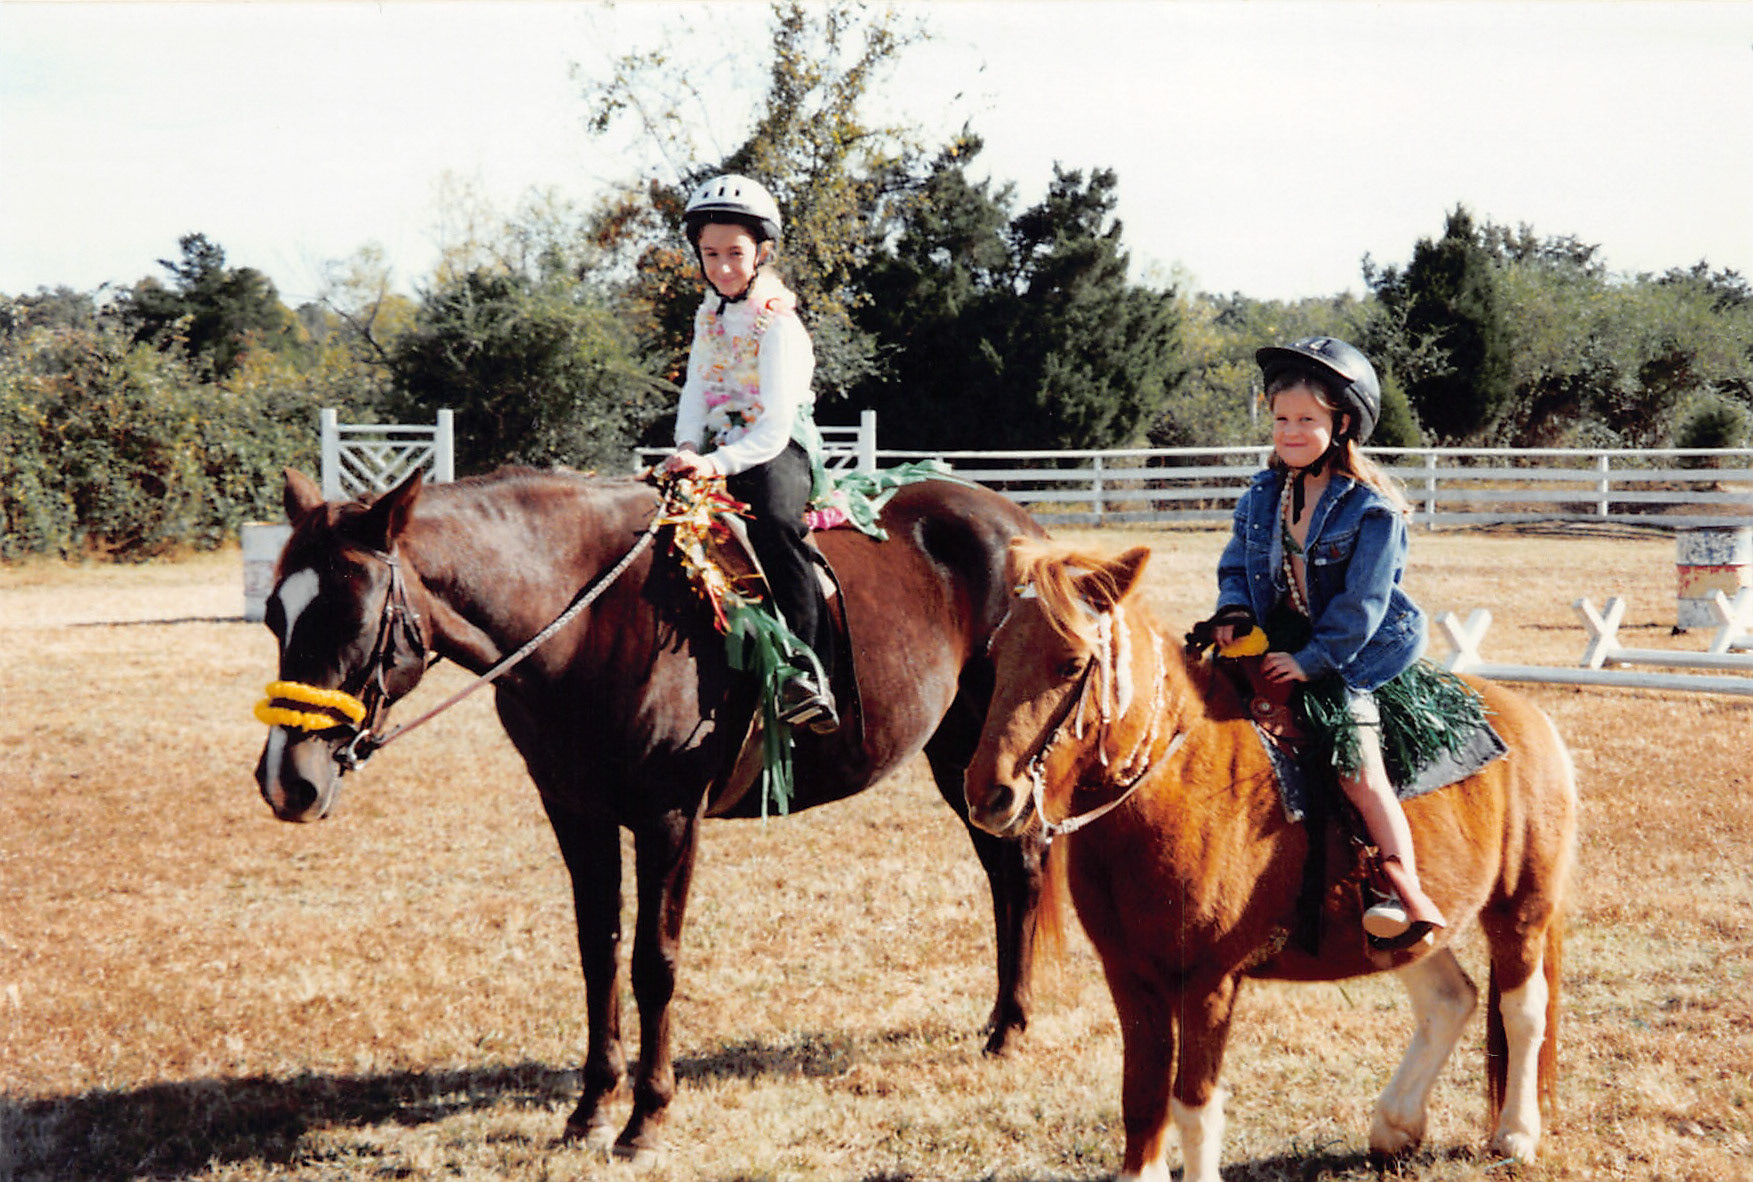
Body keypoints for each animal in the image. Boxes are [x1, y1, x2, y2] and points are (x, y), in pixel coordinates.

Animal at [252, 465, 1050, 1164]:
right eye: (273, 614)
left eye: (351, 615)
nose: (287, 781)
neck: (586, 625)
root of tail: (1019, 525)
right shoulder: (575, 812)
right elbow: (597, 953)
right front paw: (590, 1109)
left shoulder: (669, 818)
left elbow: (652, 962)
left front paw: (646, 1118)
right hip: (959, 756)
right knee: (1003, 875)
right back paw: (1000, 1020)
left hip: (991, 746)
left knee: (1024, 869)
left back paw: (1011, 1030)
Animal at [961, 540, 1577, 1182]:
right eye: (995, 656)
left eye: (1069, 663)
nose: (989, 794)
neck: (1175, 786)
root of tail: (1531, 720)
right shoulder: (1129, 976)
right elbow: (1142, 1102)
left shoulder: (1207, 982)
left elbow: (1192, 1106)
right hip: (1408, 929)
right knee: (1450, 998)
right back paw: (1396, 1126)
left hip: (1521, 910)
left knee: (1523, 1010)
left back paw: (1515, 1134)